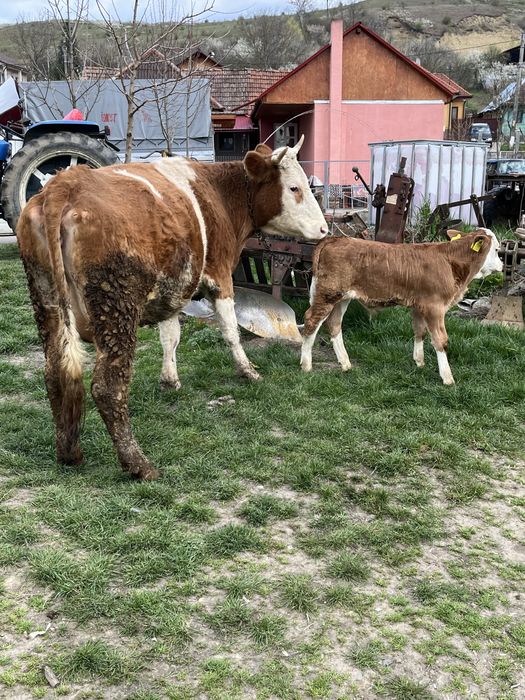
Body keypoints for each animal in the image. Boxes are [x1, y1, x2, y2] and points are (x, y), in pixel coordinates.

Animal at [16, 138, 328, 480]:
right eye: (294, 187)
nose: (325, 229)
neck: (219, 192)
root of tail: (66, 184)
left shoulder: (172, 289)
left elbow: (170, 336)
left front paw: (170, 380)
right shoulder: (220, 275)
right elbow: (230, 331)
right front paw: (248, 371)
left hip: (46, 299)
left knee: (55, 372)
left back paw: (69, 452)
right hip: (115, 307)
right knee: (107, 387)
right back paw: (138, 464)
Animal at [300, 229, 503, 385]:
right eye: (497, 249)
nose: (502, 265)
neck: (450, 261)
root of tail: (336, 239)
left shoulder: (419, 306)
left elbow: (419, 332)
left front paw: (419, 362)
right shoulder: (435, 307)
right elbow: (440, 340)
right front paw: (447, 378)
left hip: (342, 298)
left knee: (334, 324)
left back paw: (345, 363)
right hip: (327, 294)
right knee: (311, 321)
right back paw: (306, 365)